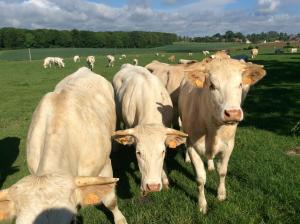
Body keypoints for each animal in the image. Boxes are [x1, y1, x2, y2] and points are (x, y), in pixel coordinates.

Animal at [177, 56, 266, 214]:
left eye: (240, 84)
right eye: (212, 85)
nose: (233, 113)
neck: (213, 128)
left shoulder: (229, 145)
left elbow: (223, 171)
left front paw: (221, 194)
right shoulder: (193, 146)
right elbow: (200, 178)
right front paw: (202, 204)